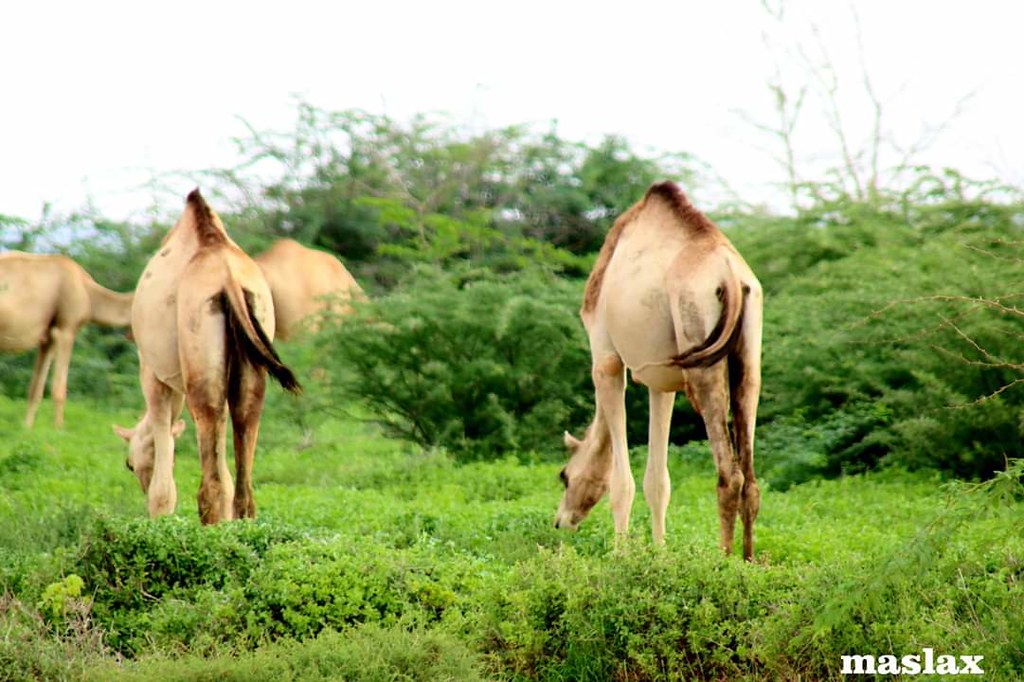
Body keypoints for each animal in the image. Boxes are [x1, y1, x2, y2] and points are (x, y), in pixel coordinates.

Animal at [0, 252, 133, 428]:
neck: (89, 293)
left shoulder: (47, 338)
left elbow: (35, 389)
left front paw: (27, 427)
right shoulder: (66, 329)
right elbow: (59, 388)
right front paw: (58, 428)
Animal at [113, 189, 300, 524]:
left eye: (129, 464)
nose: (138, 481)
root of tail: (229, 281)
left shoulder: (152, 372)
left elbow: (164, 483)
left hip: (197, 360)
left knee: (209, 458)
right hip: (250, 357)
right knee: (245, 423)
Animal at [554, 181, 763, 560]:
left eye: (564, 475)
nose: (561, 521)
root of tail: (731, 275)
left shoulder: (606, 359)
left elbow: (622, 482)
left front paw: (621, 556)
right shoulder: (660, 381)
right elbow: (658, 480)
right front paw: (660, 552)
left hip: (700, 346)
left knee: (730, 474)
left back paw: (724, 560)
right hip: (748, 357)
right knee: (751, 474)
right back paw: (749, 559)